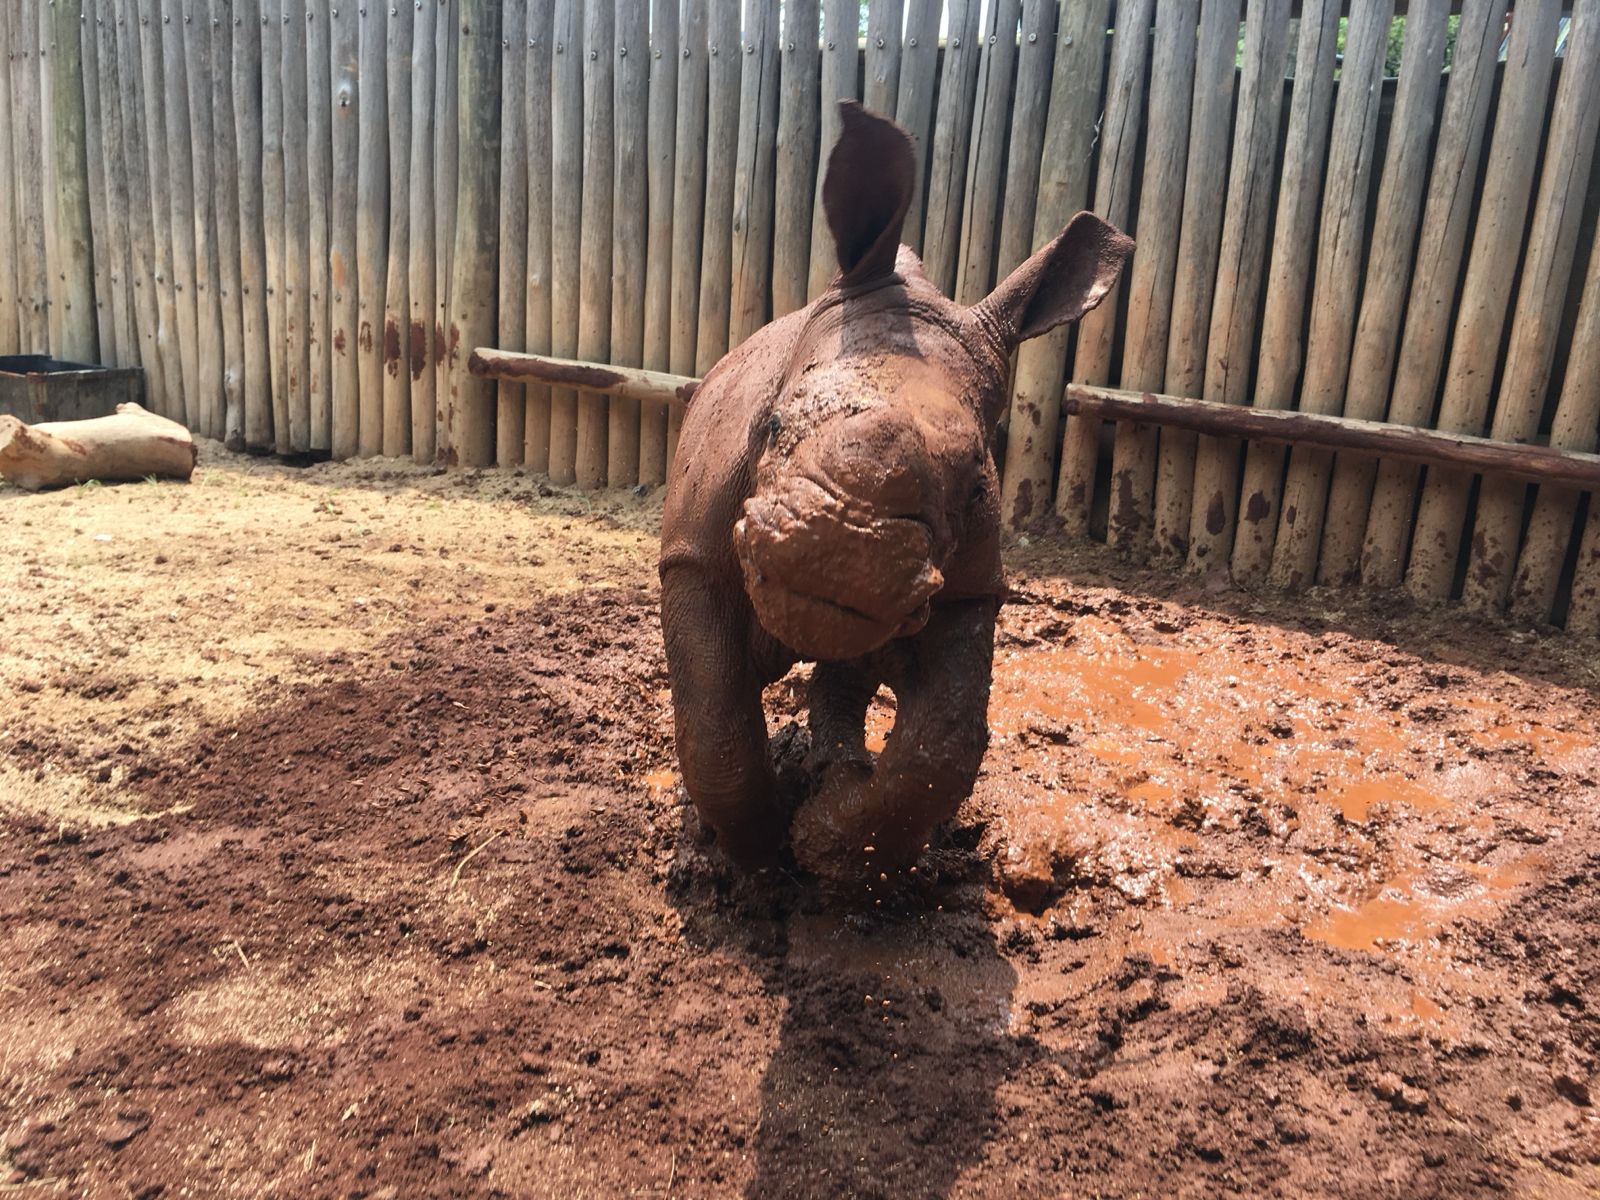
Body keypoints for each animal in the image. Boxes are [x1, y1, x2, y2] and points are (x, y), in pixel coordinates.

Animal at [660, 102, 1133, 881]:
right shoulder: (693, 555)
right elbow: (713, 723)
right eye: (771, 423)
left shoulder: (971, 588)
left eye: (975, 485)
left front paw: (828, 848)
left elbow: (943, 744)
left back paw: (835, 777)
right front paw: (754, 854)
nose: (842, 556)